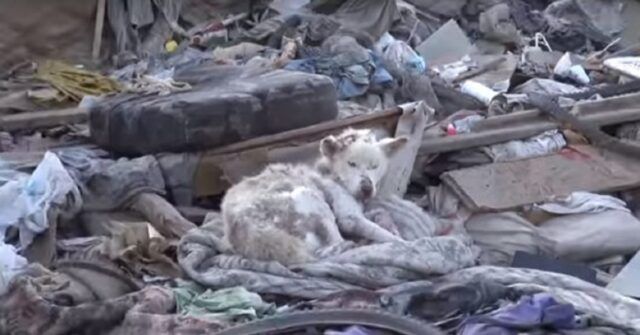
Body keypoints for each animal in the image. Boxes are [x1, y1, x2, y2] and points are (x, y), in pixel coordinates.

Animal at [222, 129, 408, 266]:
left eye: (374, 166)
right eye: (351, 164)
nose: (367, 188)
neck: (333, 175)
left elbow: (381, 212)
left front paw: (391, 226)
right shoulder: (349, 218)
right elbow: (386, 235)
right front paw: (403, 242)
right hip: (310, 197)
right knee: (333, 246)